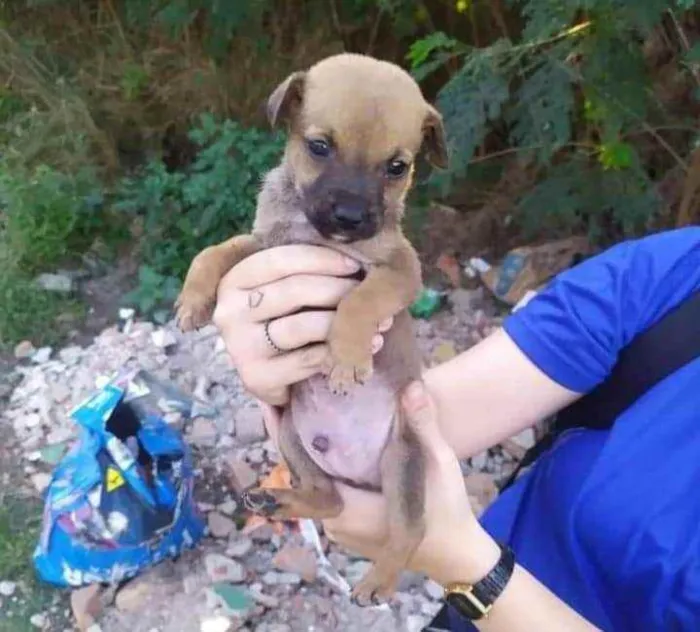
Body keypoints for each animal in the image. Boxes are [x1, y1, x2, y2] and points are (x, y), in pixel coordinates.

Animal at [175, 53, 448, 604]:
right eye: (319, 146)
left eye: (397, 167)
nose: (349, 217)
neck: (317, 234)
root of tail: (356, 474)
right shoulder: (264, 245)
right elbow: (214, 251)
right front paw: (193, 300)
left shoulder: (400, 269)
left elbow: (362, 300)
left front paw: (346, 358)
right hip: (288, 433)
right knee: (328, 499)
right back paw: (280, 501)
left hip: (405, 458)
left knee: (410, 528)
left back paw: (379, 579)